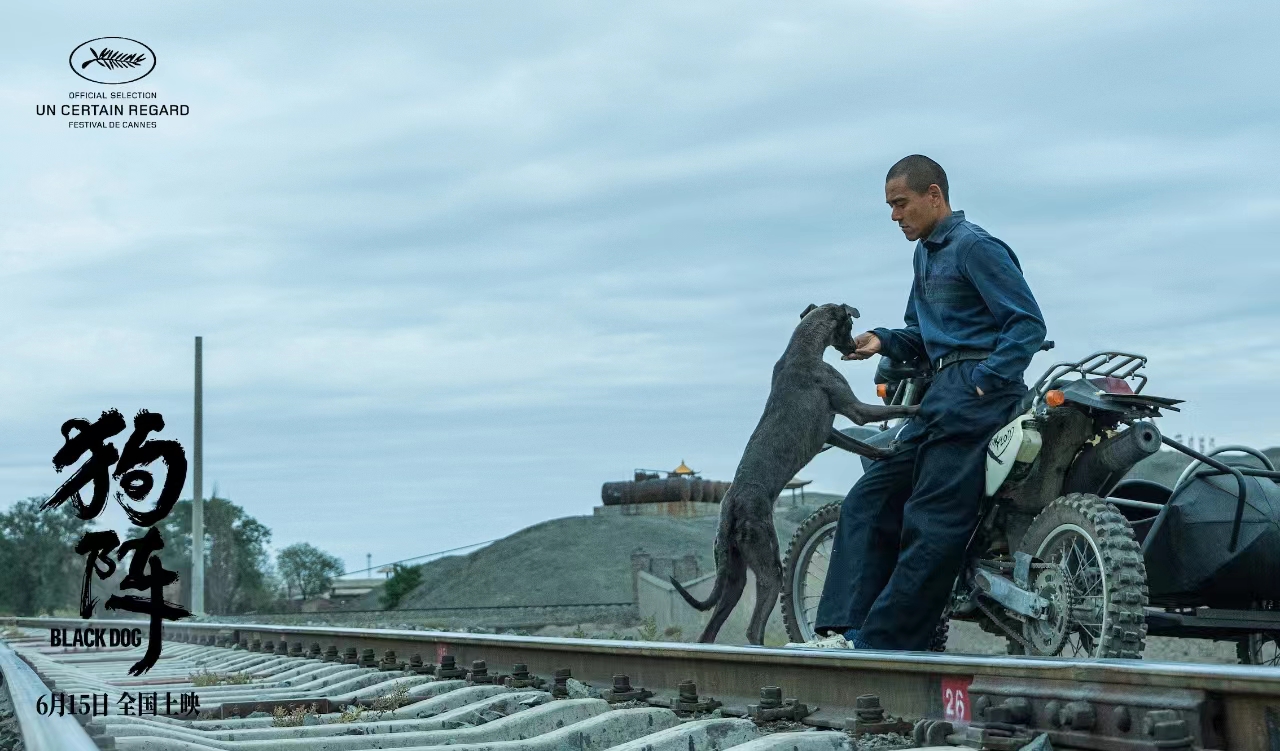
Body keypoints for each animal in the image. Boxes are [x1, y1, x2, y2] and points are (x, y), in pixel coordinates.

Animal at [670, 303, 921, 644]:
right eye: (849, 324)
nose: (854, 347)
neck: (801, 350)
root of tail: (731, 507)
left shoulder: (829, 432)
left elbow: (864, 446)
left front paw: (886, 452)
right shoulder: (854, 408)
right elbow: (895, 410)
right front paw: (920, 409)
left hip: (734, 575)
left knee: (709, 633)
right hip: (769, 566)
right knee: (753, 628)